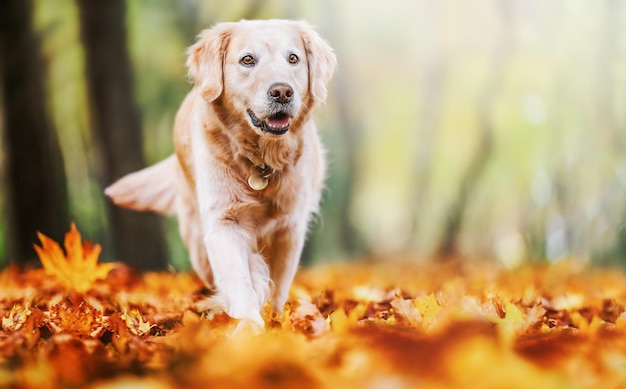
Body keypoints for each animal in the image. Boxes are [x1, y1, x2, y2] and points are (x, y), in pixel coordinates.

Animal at [105, 18, 334, 328]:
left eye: (293, 58)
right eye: (247, 60)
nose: (282, 92)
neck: (260, 161)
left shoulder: (290, 228)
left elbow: (278, 286)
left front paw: (276, 321)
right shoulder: (224, 221)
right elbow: (239, 280)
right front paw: (248, 326)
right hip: (197, 240)